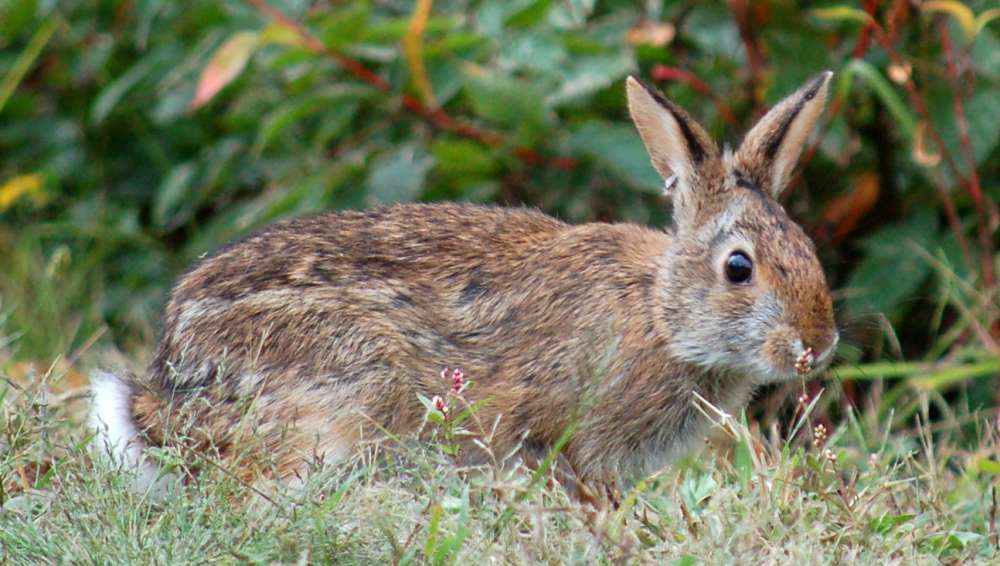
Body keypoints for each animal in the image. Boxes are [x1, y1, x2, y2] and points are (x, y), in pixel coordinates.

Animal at [90, 71, 839, 493]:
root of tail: (167, 396)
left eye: (805, 247)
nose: (818, 345)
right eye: (738, 268)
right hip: (340, 390)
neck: (661, 316)